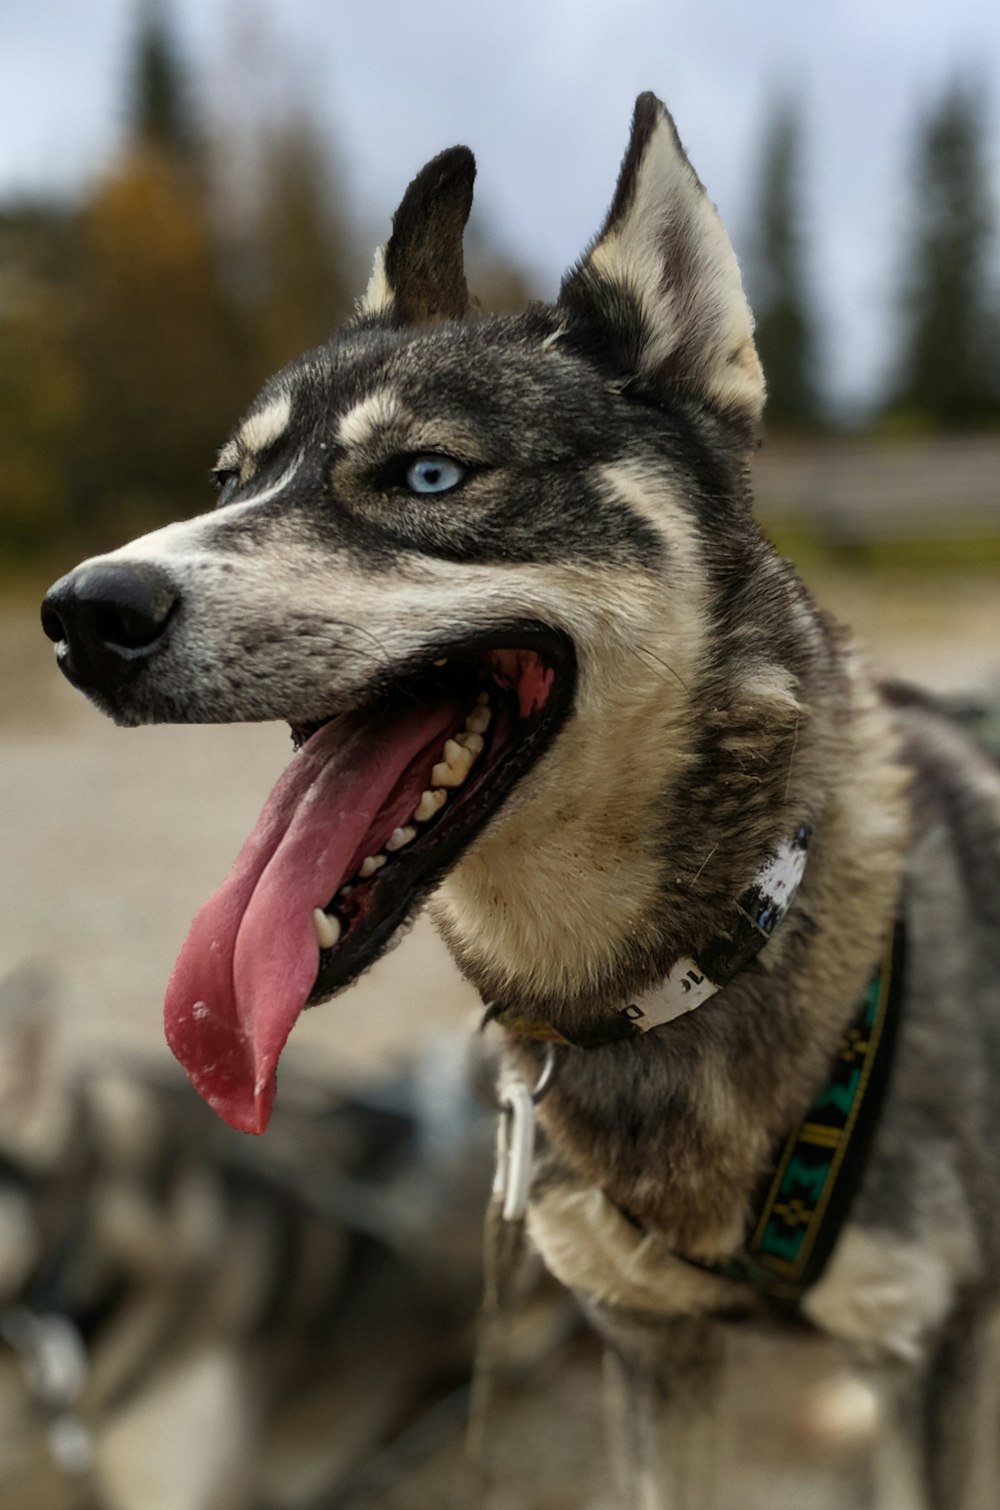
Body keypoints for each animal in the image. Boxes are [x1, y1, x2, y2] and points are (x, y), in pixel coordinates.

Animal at [41, 97, 1000, 1510]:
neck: (693, 965)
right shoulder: (649, 1350)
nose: (80, 615)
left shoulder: (917, 1363)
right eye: (230, 481)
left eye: (428, 477)